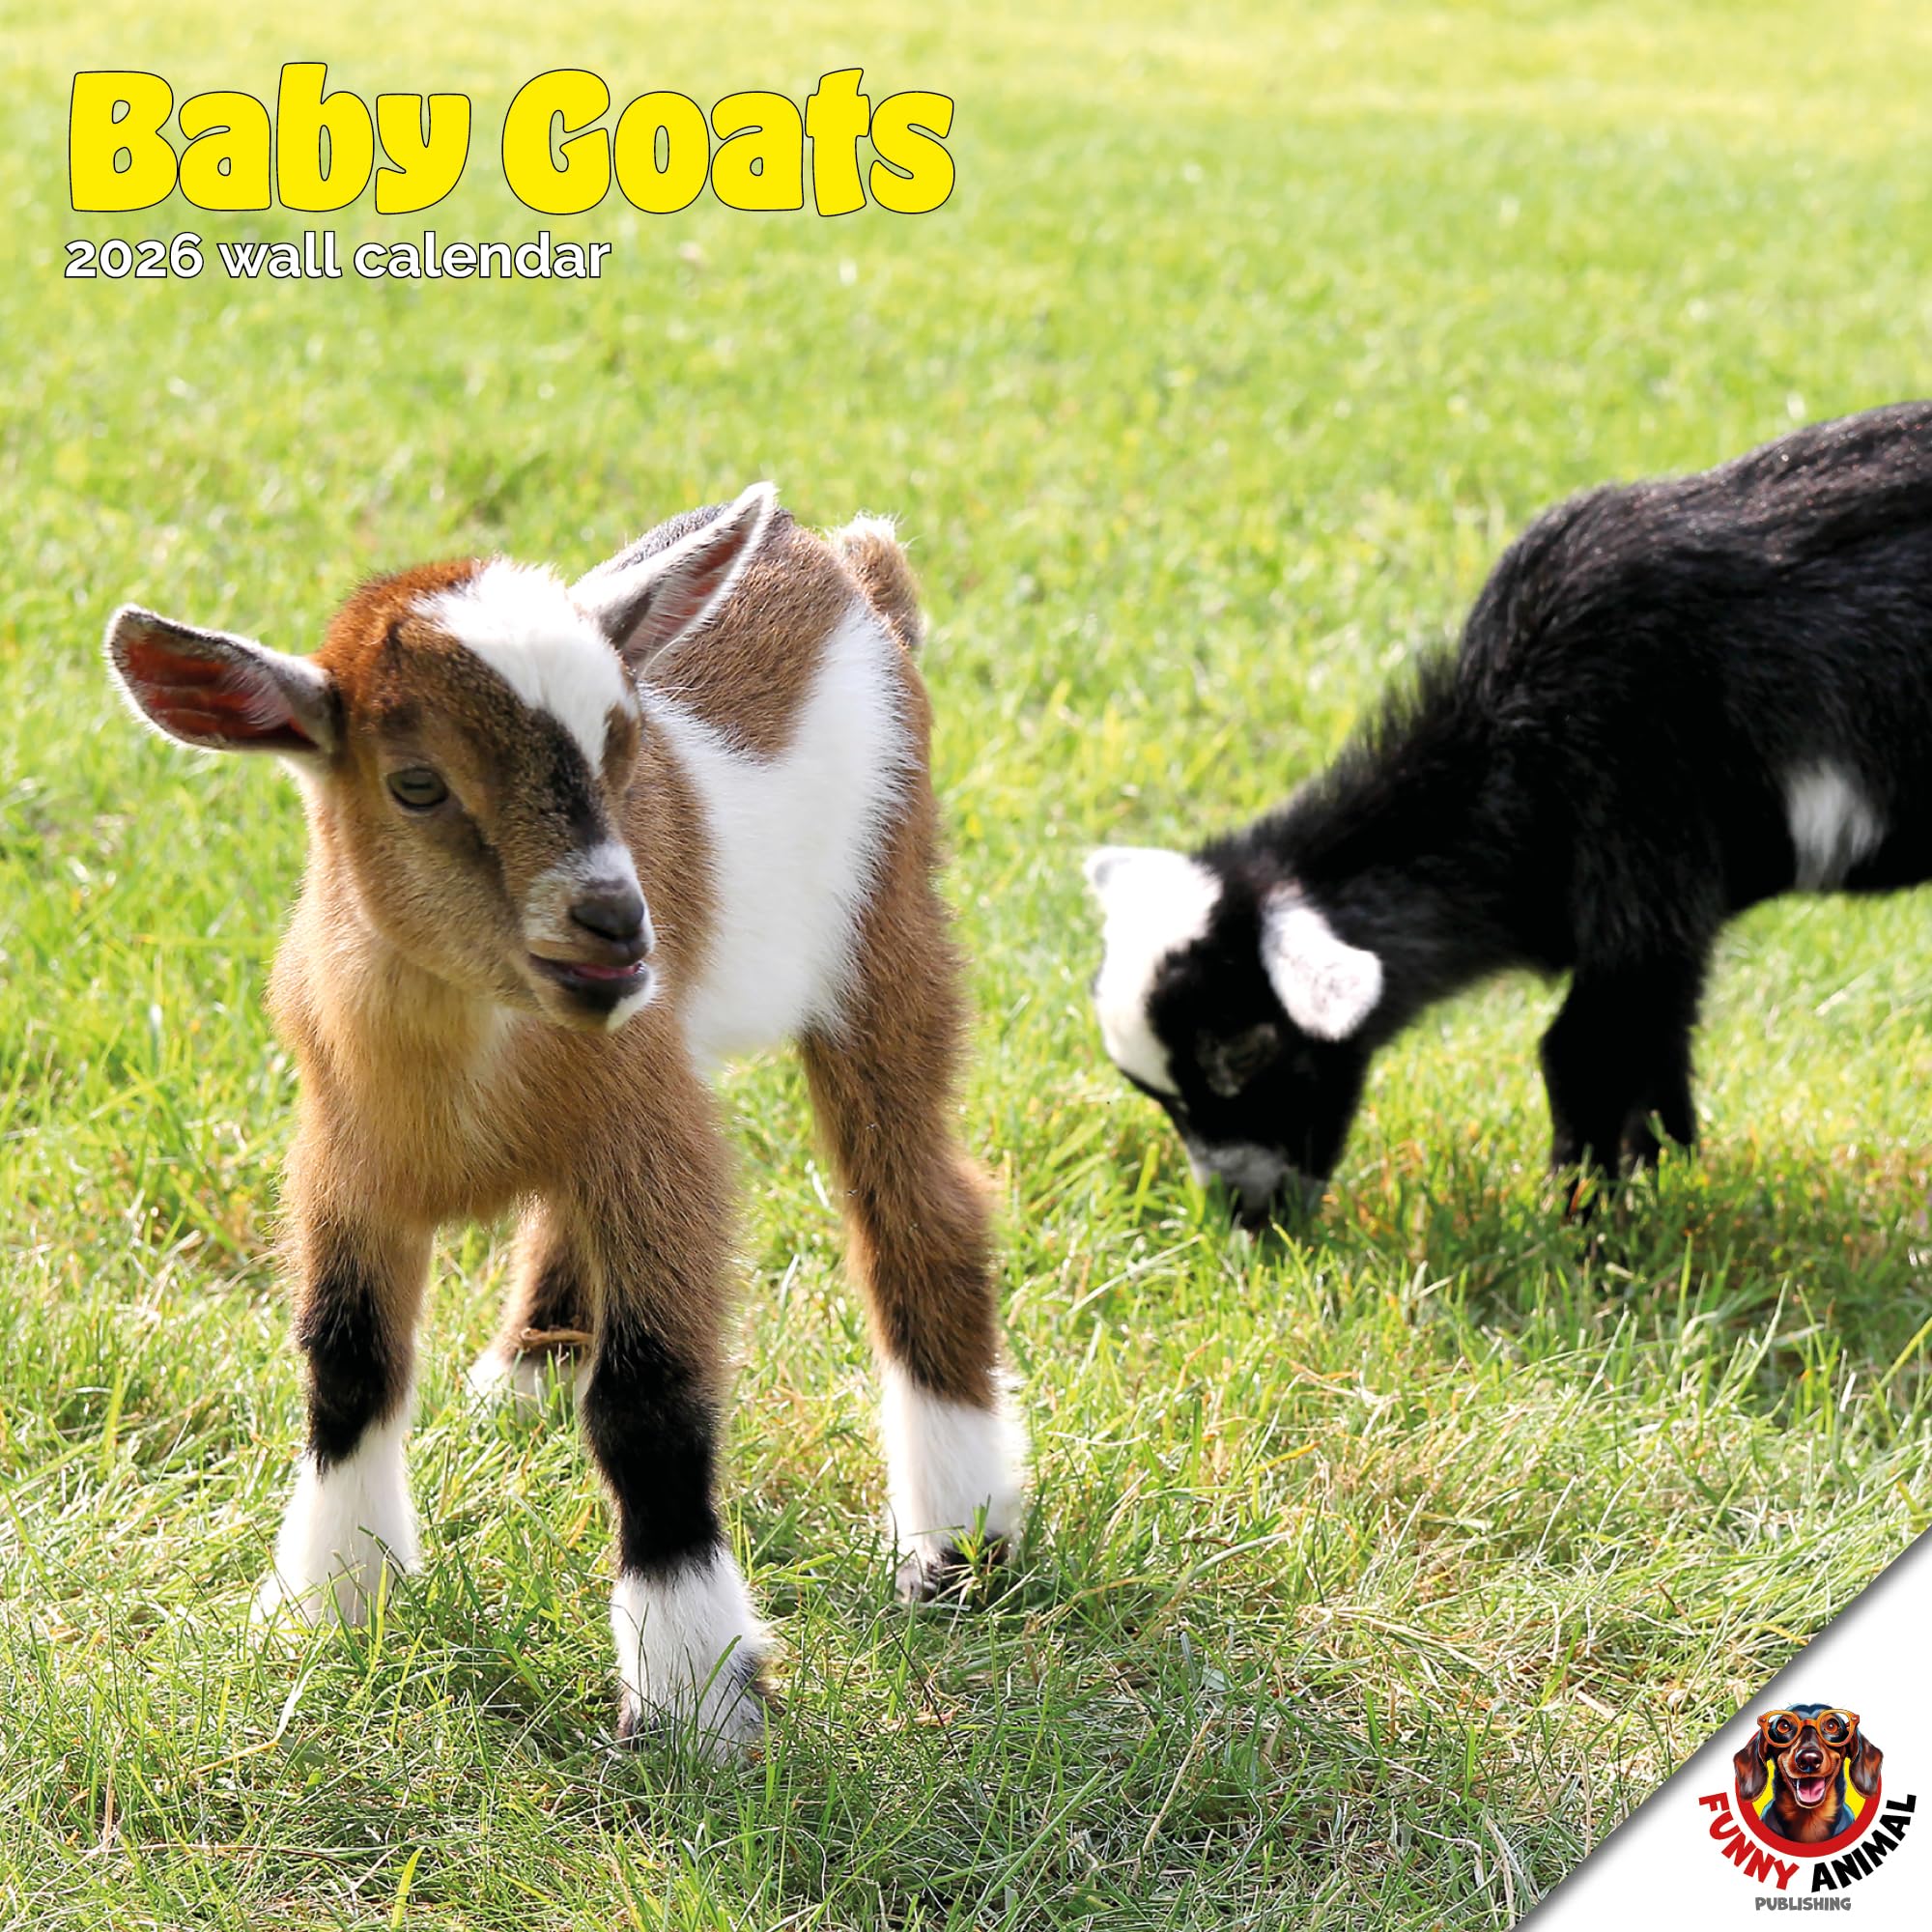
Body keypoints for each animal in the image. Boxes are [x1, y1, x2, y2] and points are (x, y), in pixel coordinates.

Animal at [106, 485, 1024, 1755]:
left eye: (621, 745)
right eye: (417, 783)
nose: (615, 922)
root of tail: (847, 560)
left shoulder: (656, 1137)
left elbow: (647, 1402)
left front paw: (692, 1697)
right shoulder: (342, 1160)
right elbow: (345, 1363)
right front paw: (329, 1607)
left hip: (886, 928)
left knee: (916, 1201)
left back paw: (956, 1542)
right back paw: (528, 1373)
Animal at [1086, 402, 1932, 1222]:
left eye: (1247, 1054)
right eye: (1156, 1094)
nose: (1244, 1216)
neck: (1515, 743)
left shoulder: (1641, 841)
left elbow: (1583, 1051)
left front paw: (1591, 1234)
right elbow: (1658, 1052)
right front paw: (1670, 1181)